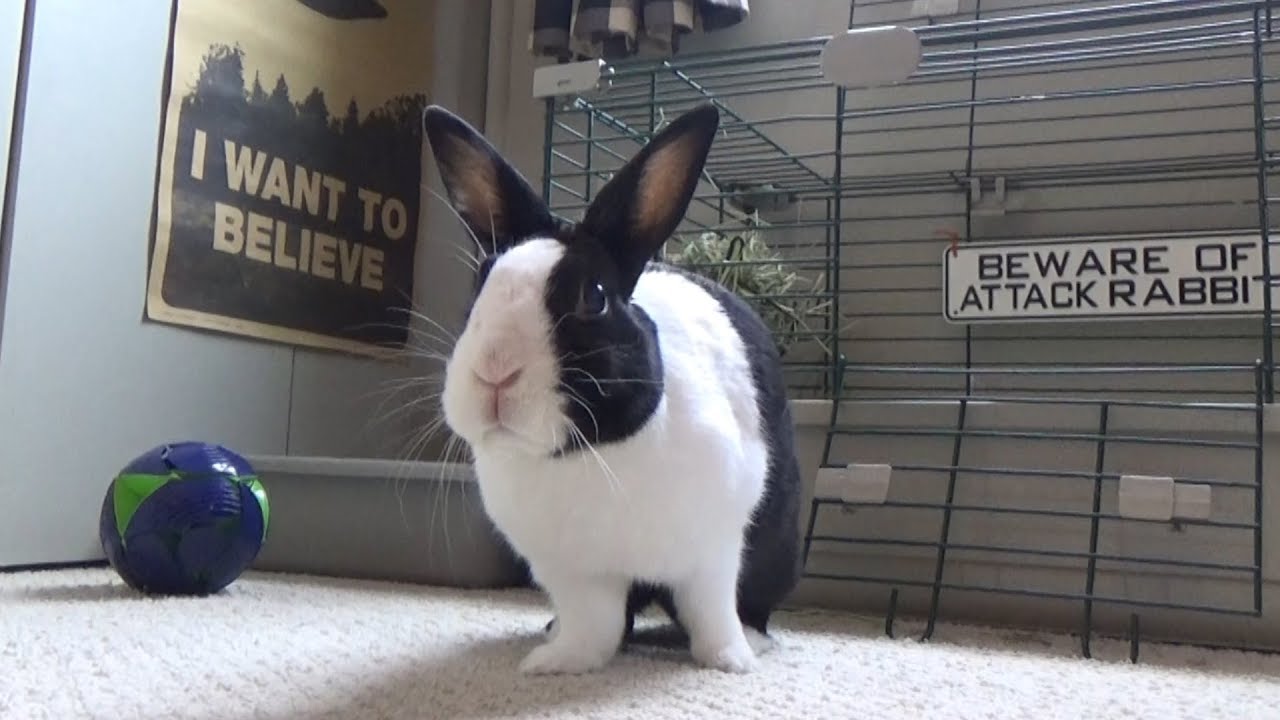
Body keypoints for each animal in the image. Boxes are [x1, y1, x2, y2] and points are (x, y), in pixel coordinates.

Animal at [421, 101, 803, 676]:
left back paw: (754, 641)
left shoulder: (712, 554)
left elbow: (711, 615)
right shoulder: (577, 577)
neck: (589, 452)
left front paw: (731, 662)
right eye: (481, 287)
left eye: (594, 297)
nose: (494, 373)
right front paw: (554, 662)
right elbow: (595, 629)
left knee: (748, 605)